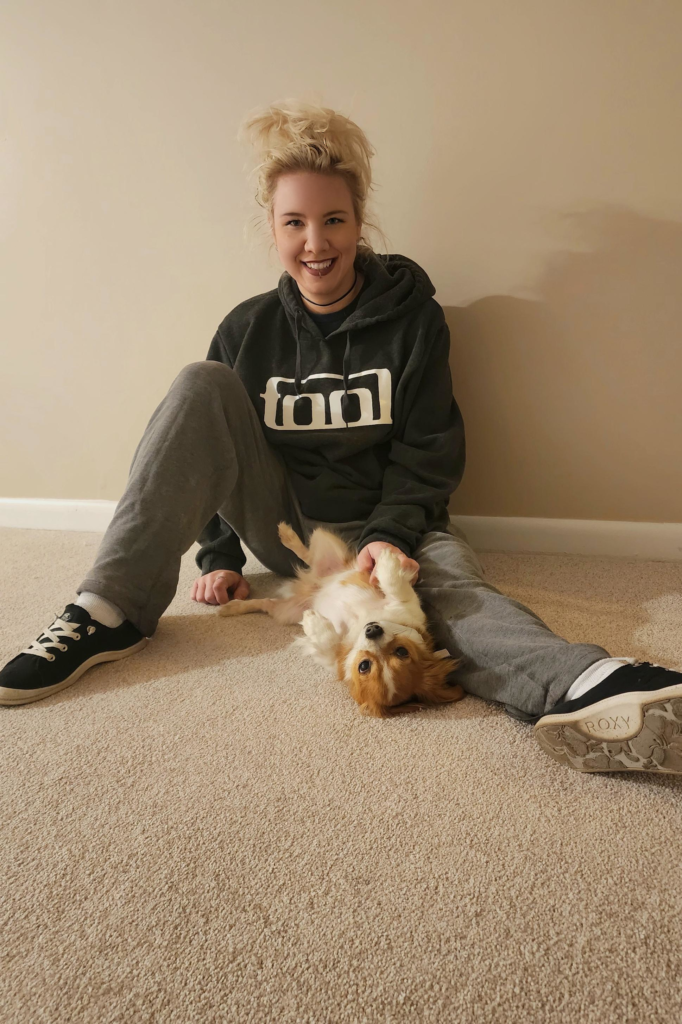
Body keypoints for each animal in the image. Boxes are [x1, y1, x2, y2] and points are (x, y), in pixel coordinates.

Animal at [218, 520, 462, 720]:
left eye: (364, 666)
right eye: (401, 651)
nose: (372, 630)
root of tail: (312, 585)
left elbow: (327, 642)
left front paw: (313, 621)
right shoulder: (406, 605)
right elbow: (395, 586)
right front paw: (386, 559)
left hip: (285, 611)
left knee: (267, 601)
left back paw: (232, 606)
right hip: (330, 548)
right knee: (308, 554)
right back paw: (286, 535)